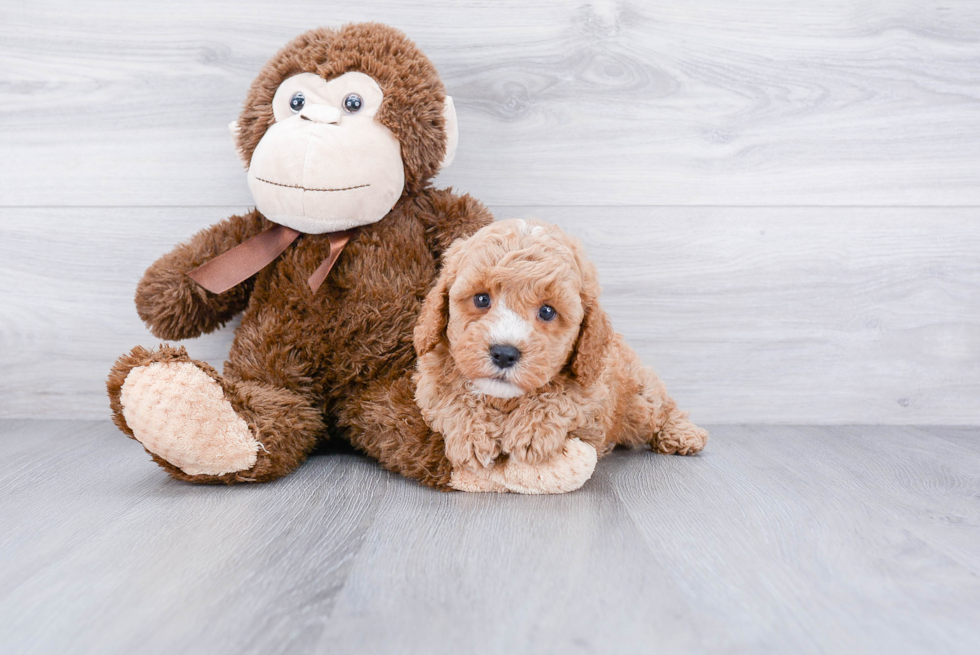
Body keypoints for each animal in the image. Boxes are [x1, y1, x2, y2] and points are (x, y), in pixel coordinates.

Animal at [412, 218, 704, 494]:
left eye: (547, 311)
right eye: (482, 299)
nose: (504, 353)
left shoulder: (592, 384)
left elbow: (562, 394)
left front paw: (531, 429)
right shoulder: (430, 382)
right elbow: (453, 396)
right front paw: (473, 436)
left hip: (639, 404)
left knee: (662, 404)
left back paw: (683, 434)